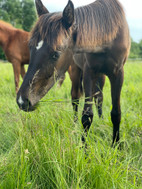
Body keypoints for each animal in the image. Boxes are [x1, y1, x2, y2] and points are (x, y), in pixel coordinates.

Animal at [16, 0, 130, 145]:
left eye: (56, 54)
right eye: (30, 47)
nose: (22, 101)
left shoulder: (118, 73)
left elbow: (116, 113)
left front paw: (116, 145)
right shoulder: (88, 73)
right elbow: (87, 115)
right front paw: (83, 147)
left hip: (101, 75)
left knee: (99, 97)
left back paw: (101, 120)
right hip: (76, 72)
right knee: (75, 98)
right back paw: (75, 125)